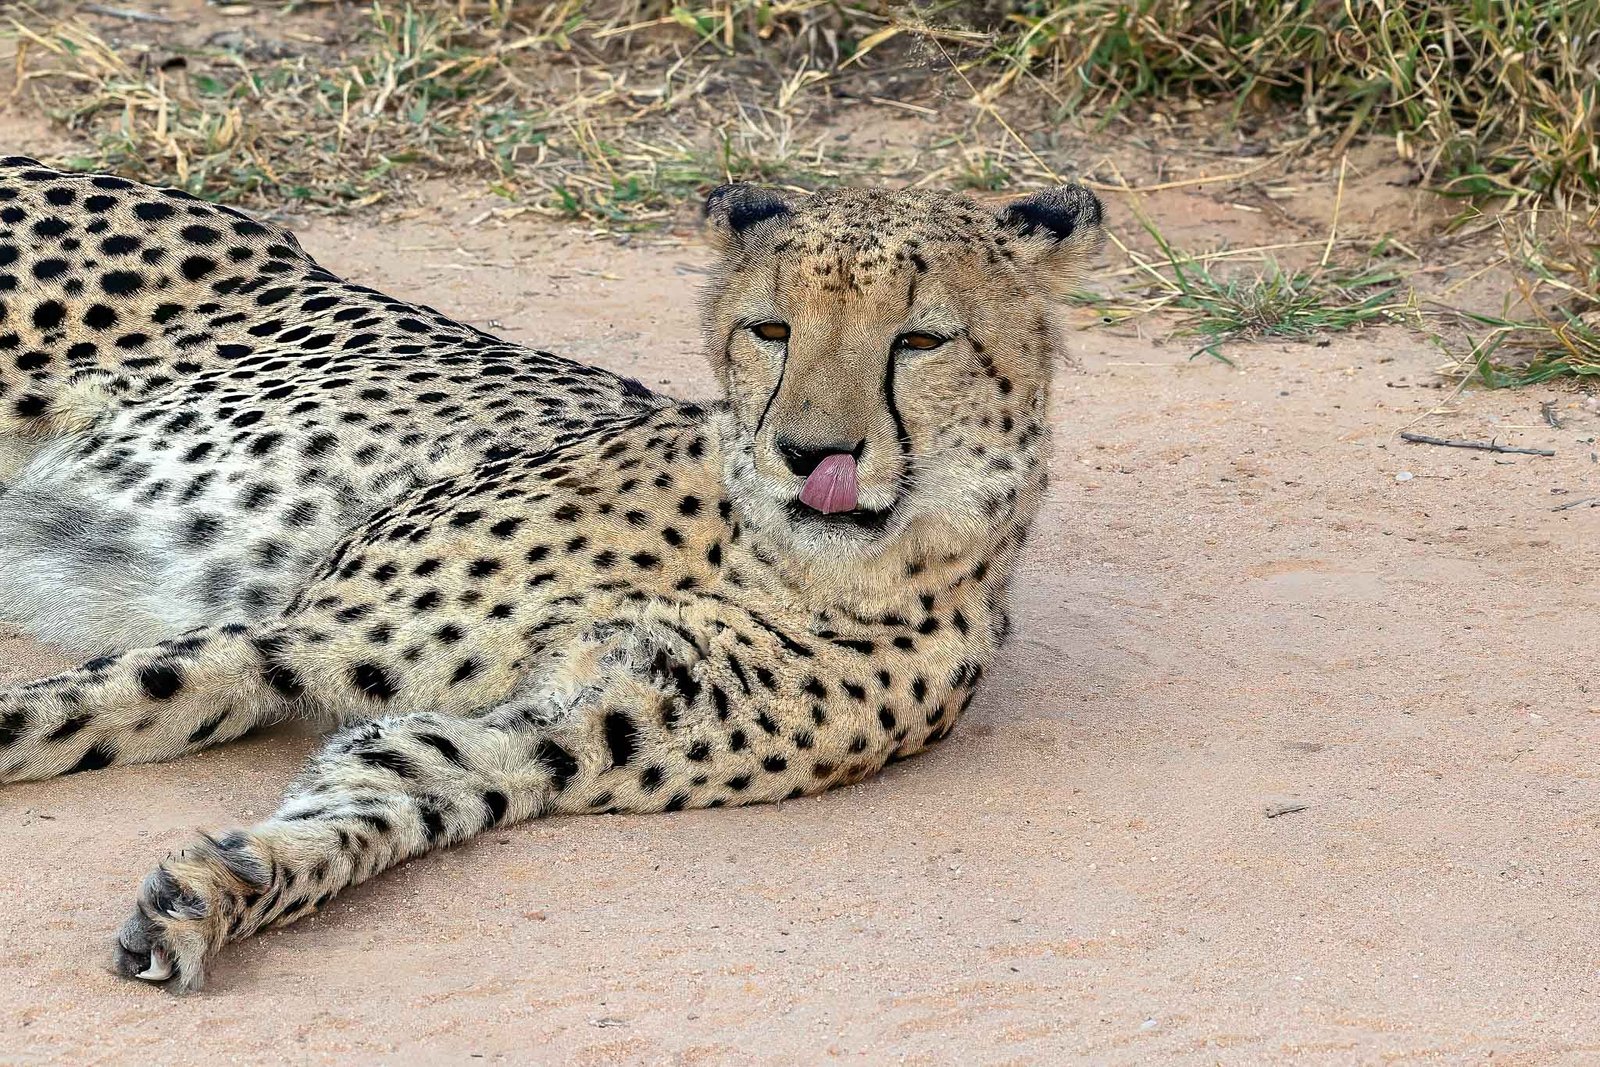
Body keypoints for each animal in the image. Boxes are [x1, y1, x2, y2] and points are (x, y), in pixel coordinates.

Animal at [0, 156, 1104, 991]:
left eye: (920, 340)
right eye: (772, 330)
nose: (810, 452)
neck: (782, 559)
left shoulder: (530, 744)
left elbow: (368, 799)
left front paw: (214, 893)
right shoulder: (307, 632)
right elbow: (77, 702)